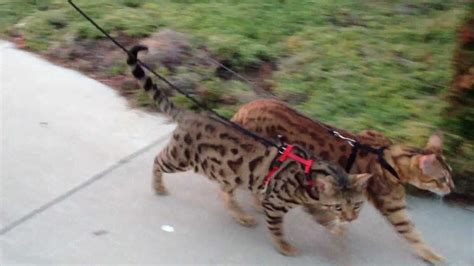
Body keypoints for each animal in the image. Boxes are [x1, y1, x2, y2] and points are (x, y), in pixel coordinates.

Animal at [126, 46, 374, 256]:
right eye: (339, 205)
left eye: (357, 204)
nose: (352, 217)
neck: (310, 176)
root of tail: (190, 114)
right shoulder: (275, 204)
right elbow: (277, 229)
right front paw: (285, 247)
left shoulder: (309, 203)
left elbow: (323, 218)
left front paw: (338, 230)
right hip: (180, 158)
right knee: (158, 161)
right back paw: (158, 187)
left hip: (228, 172)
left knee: (225, 194)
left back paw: (242, 216)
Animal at [231, 98, 454, 264]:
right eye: (441, 179)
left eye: (450, 174)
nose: (452, 188)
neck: (388, 157)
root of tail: (244, 108)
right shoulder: (392, 207)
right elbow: (412, 232)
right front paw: (432, 255)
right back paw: (242, 214)